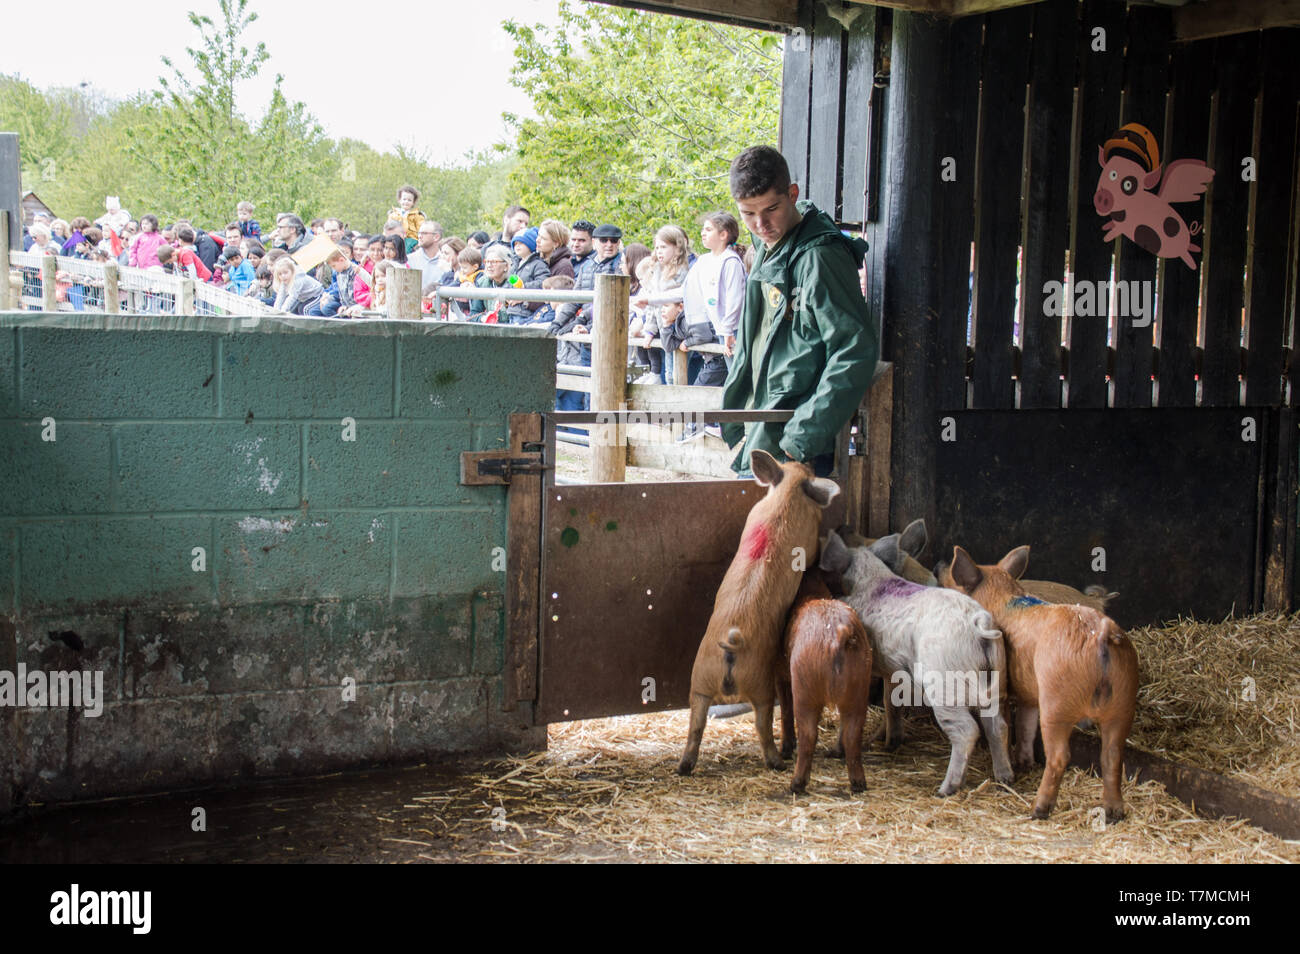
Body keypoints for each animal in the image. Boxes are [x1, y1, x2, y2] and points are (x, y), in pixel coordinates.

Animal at [677, 450, 840, 776]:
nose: (806, 460)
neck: (787, 495)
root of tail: (731, 648)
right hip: (761, 686)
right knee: (762, 725)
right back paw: (777, 761)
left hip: (699, 683)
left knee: (695, 726)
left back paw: (684, 767)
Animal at [777, 568, 873, 794]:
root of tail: (838, 633)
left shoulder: (780, 675)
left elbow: (785, 711)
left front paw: (786, 750)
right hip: (859, 686)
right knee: (853, 733)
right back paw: (858, 784)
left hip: (804, 688)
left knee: (808, 734)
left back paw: (795, 785)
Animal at [821, 531, 1014, 796]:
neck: (871, 580)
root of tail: (979, 624)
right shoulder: (892, 668)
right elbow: (891, 703)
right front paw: (890, 743)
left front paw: (834, 751)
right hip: (997, 678)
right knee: (998, 726)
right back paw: (1005, 779)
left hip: (944, 681)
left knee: (967, 730)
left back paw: (945, 789)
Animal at [938, 545, 1139, 822]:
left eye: (950, 583)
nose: (939, 567)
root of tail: (1101, 633)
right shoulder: (1028, 694)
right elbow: (1025, 726)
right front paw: (1023, 763)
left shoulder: (1004, 689)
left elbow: (1006, 725)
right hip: (1124, 700)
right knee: (1112, 756)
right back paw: (1114, 814)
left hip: (1056, 702)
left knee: (1059, 757)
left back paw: (1037, 810)